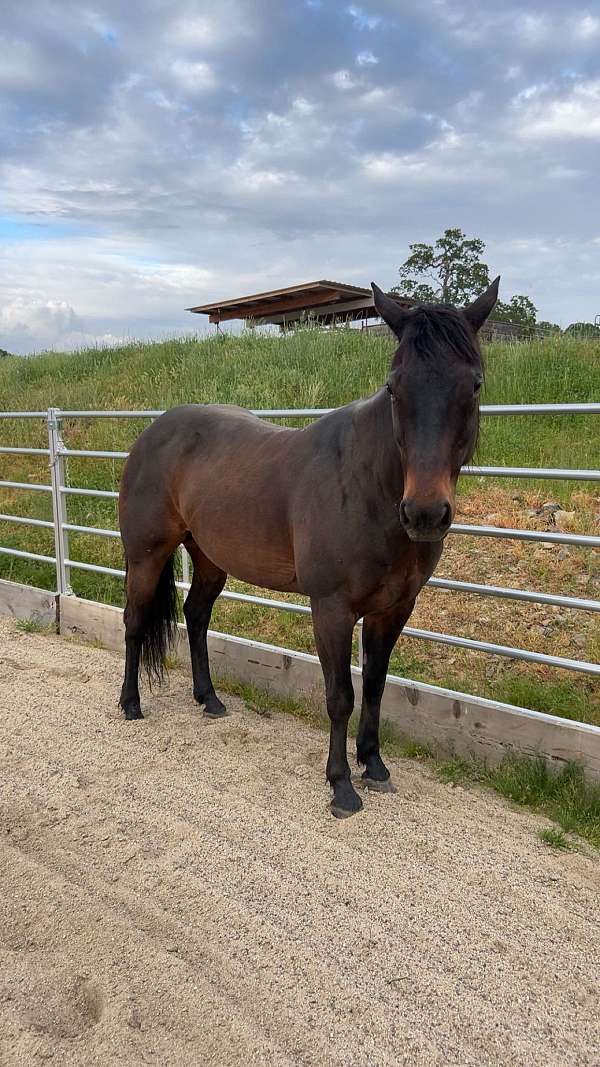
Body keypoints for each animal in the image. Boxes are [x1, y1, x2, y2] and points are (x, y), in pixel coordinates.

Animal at [118, 278, 499, 818]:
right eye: (394, 387)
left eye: (474, 385)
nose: (425, 513)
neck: (368, 486)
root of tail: (152, 432)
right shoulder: (332, 609)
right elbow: (340, 695)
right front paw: (341, 786)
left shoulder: (394, 609)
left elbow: (375, 685)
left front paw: (374, 765)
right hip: (146, 555)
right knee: (134, 620)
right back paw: (130, 703)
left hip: (210, 558)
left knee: (196, 616)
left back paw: (209, 699)